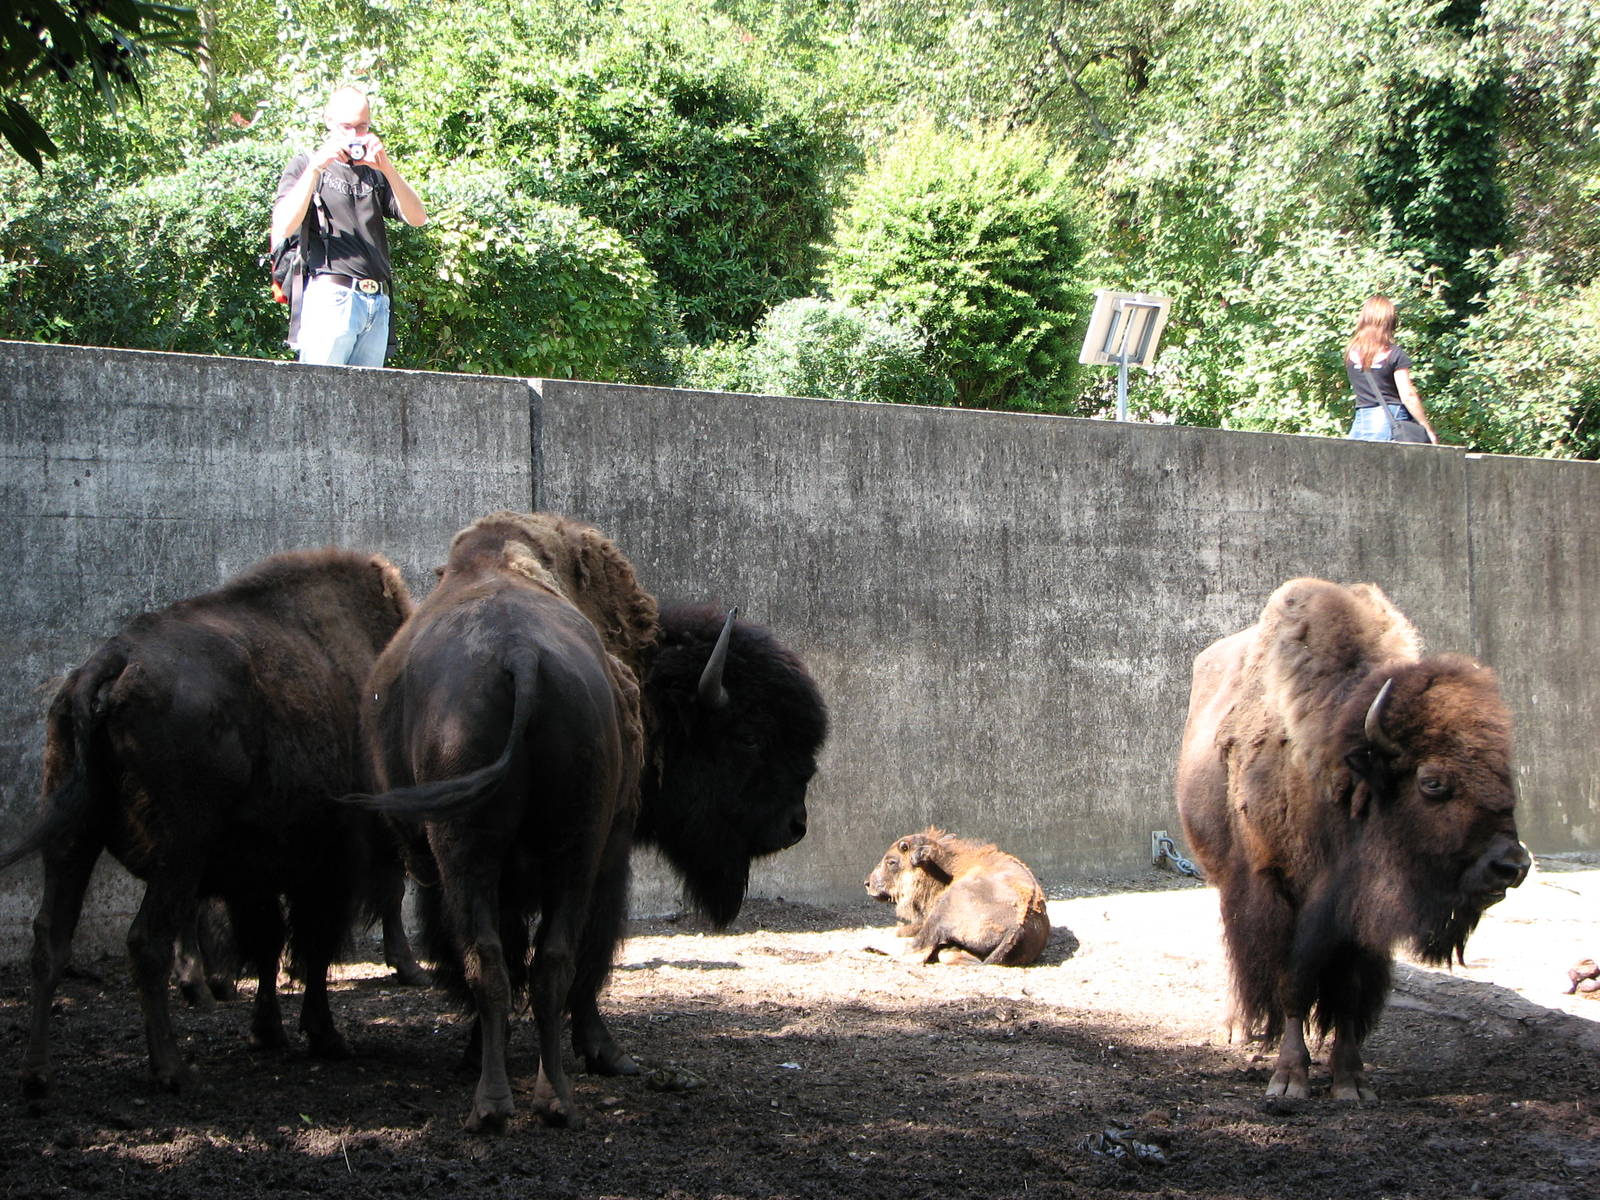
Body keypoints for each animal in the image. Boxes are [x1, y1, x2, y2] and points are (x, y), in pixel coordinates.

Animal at [0, 549, 415, 1095]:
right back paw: (173, 1070)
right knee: (146, 941)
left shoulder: (260, 873)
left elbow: (270, 942)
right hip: (182, 849)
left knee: (51, 938)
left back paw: (36, 1073)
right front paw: (325, 1036)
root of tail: (113, 663)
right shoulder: (328, 866)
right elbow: (312, 945)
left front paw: (269, 1032)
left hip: (73, 838)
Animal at [1176, 578, 1531, 1100]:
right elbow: (1293, 981)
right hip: (1224, 876)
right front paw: (1289, 1078)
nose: (1511, 865)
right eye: (1432, 782)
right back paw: (1240, 1028)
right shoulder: (1281, 889)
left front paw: (1352, 1081)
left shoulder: (1359, 913)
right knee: (1240, 952)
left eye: (1503, 774)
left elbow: (1350, 991)